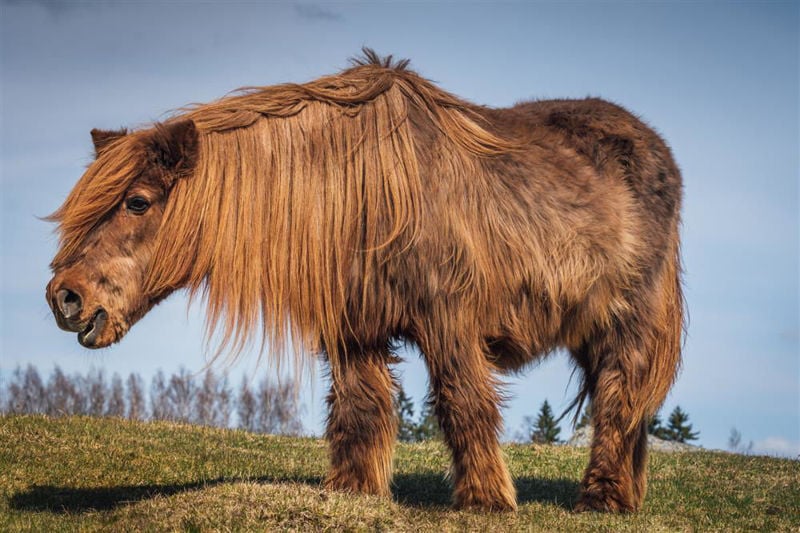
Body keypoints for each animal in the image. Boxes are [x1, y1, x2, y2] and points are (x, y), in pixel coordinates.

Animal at [45, 51, 680, 512]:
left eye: (137, 201)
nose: (65, 298)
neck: (356, 193)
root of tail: (655, 148)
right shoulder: (354, 329)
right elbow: (359, 408)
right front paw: (352, 492)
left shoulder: (448, 319)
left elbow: (463, 402)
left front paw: (486, 501)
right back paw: (625, 497)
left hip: (629, 320)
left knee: (619, 397)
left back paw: (601, 499)